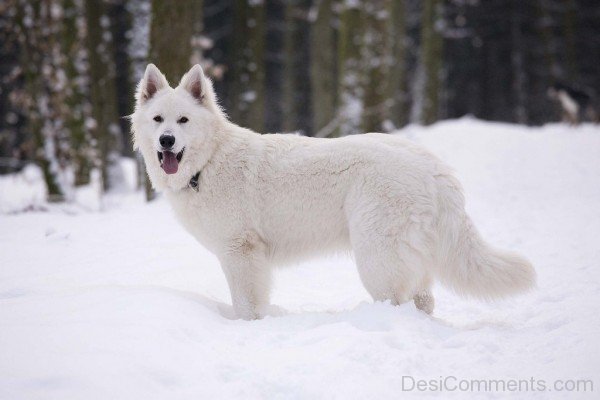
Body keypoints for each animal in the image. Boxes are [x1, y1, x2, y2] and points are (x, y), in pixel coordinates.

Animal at [131, 64, 536, 320]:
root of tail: (434, 168)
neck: (209, 161)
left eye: (183, 120)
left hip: (376, 257)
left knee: (398, 302)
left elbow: (246, 305)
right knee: (424, 301)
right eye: (158, 120)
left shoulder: (240, 253)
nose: (166, 141)